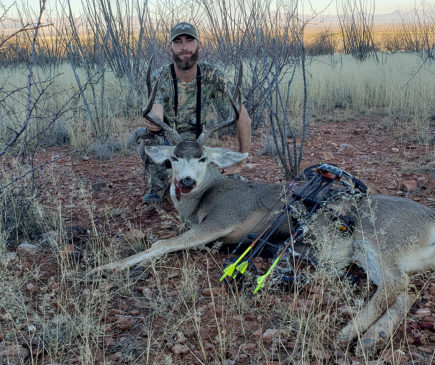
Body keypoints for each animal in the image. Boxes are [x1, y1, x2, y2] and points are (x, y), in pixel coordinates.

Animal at [89, 64, 435, 354]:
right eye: (173, 158)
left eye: (203, 158)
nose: (186, 181)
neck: (204, 197)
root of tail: (430, 220)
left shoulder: (221, 220)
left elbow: (162, 243)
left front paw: (103, 267)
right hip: (366, 255)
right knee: (406, 291)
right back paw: (371, 337)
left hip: (380, 239)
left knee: (398, 284)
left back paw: (349, 334)